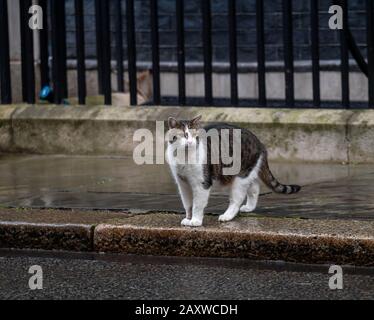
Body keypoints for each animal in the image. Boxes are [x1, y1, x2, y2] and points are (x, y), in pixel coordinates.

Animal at [167, 115, 300, 228]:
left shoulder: (202, 183)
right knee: (254, 188)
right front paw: (188, 218)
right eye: (185, 135)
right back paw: (249, 207)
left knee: (237, 199)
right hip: (247, 173)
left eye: (196, 136)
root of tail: (259, 142)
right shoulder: (183, 184)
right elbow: (188, 204)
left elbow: (197, 204)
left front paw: (196, 221)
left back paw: (227, 216)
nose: (190, 142)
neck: (184, 158)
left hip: (241, 177)